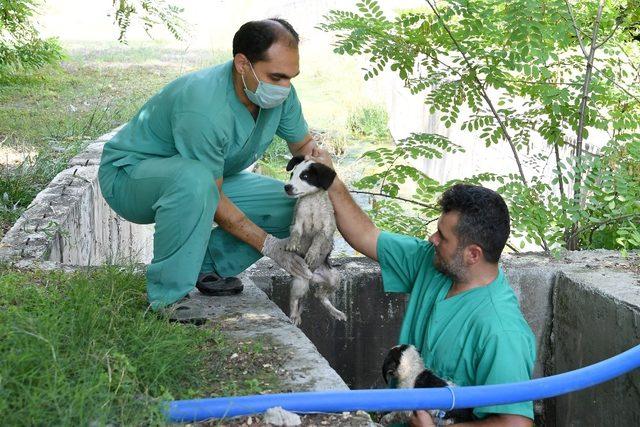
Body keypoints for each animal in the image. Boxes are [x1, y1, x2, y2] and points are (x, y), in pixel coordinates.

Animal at [284, 155, 344, 326]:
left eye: (305, 176)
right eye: (292, 174)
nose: (287, 187)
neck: (311, 201)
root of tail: (313, 278)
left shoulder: (327, 228)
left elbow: (318, 239)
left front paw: (312, 253)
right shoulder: (297, 223)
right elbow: (295, 233)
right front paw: (292, 244)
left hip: (335, 278)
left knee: (321, 297)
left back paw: (336, 312)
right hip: (299, 282)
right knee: (294, 300)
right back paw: (294, 317)